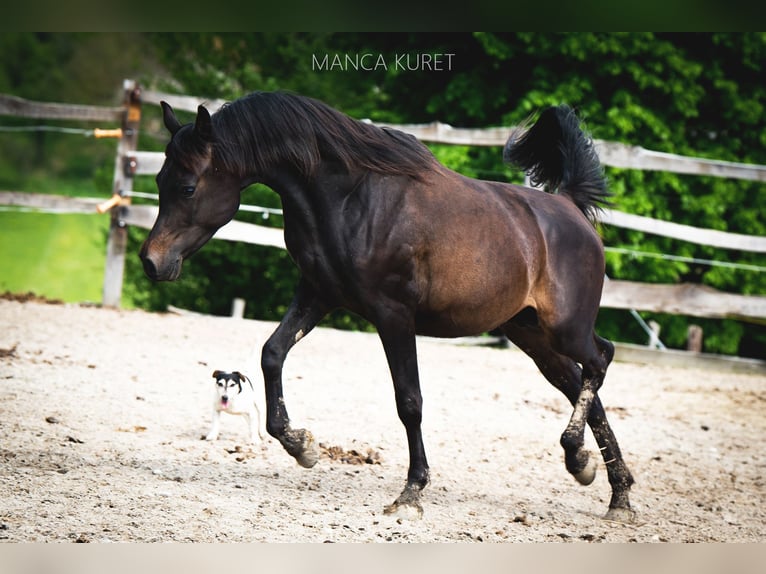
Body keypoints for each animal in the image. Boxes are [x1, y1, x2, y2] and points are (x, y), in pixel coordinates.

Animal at [141, 91, 640, 528]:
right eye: (159, 182)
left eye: (188, 186)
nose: (151, 262)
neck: (350, 199)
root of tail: (571, 208)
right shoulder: (318, 294)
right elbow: (271, 353)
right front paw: (302, 445)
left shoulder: (394, 315)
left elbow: (409, 402)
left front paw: (410, 495)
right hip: (530, 334)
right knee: (582, 386)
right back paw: (609, 487)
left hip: (565, 328)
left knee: (601, 359)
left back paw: (582, 458)